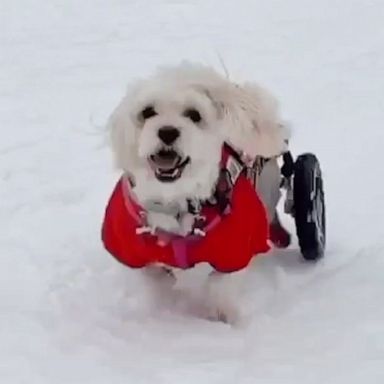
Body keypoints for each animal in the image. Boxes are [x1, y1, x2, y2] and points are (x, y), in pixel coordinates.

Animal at [104, 63, 288, 324]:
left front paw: (222, 318)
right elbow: (158, 279)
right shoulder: (134, 251)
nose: (167, 132)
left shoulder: (238, 246)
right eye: (147, 112)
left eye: (194, 114)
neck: (175, 199)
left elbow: (221, 285)